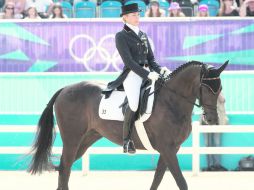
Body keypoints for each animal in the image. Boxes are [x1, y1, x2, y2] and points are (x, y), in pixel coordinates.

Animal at [28, 60, 228, 190]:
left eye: (219, 89)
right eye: (206, 89)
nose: (212, 119)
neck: (171, 101)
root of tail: (65, 89)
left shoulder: (171, 149)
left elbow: (157, 178)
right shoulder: (167, 148)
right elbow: (181, 182)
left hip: (86, 140)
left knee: (64, 168)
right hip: (72, 139)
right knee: (65, 168)